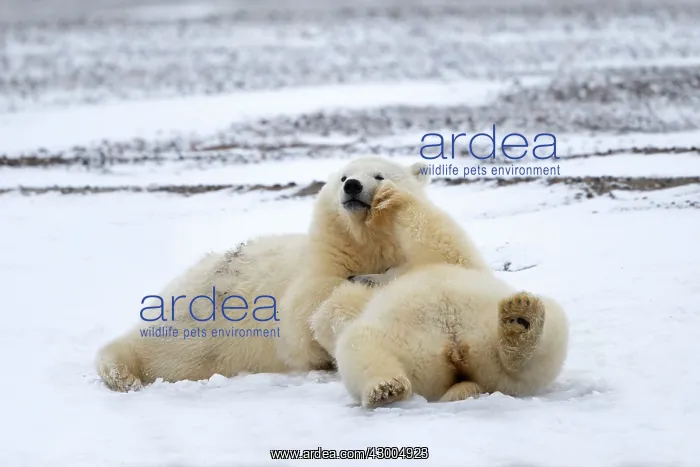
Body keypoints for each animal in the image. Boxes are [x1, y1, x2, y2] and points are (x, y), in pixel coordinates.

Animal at [95, 156, 461, 392]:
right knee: (160, 340)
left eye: (380, 175)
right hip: (202, 312)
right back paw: (121, 373)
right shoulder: (321, 265)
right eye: (343, 177)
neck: (365, 245)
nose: (353, 186)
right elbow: (303, 317)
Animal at [311, 181, 569, 408]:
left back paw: (520, 320)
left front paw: (387, 196)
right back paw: (385, 388)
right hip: (413, 351)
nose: (353, 277)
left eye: (384, 268)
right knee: (360, 346)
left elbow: (437, 239)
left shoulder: (447, 262)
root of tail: (456, 356)